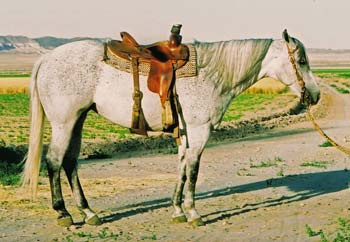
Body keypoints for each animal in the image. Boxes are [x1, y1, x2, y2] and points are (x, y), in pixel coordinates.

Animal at [22, 30, 320, 227]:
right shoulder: (199, 131)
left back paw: (89, 212)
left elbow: (182, 168)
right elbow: (193, 170)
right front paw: (193, 213)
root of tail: (46, 59)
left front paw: (177, 210)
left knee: (70, 162)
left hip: (78, 120)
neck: (211, 74)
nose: (315, 95)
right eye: (301, 61)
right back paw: (64, 214)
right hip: (64, 122)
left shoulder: (185, 134)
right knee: (54, 161)